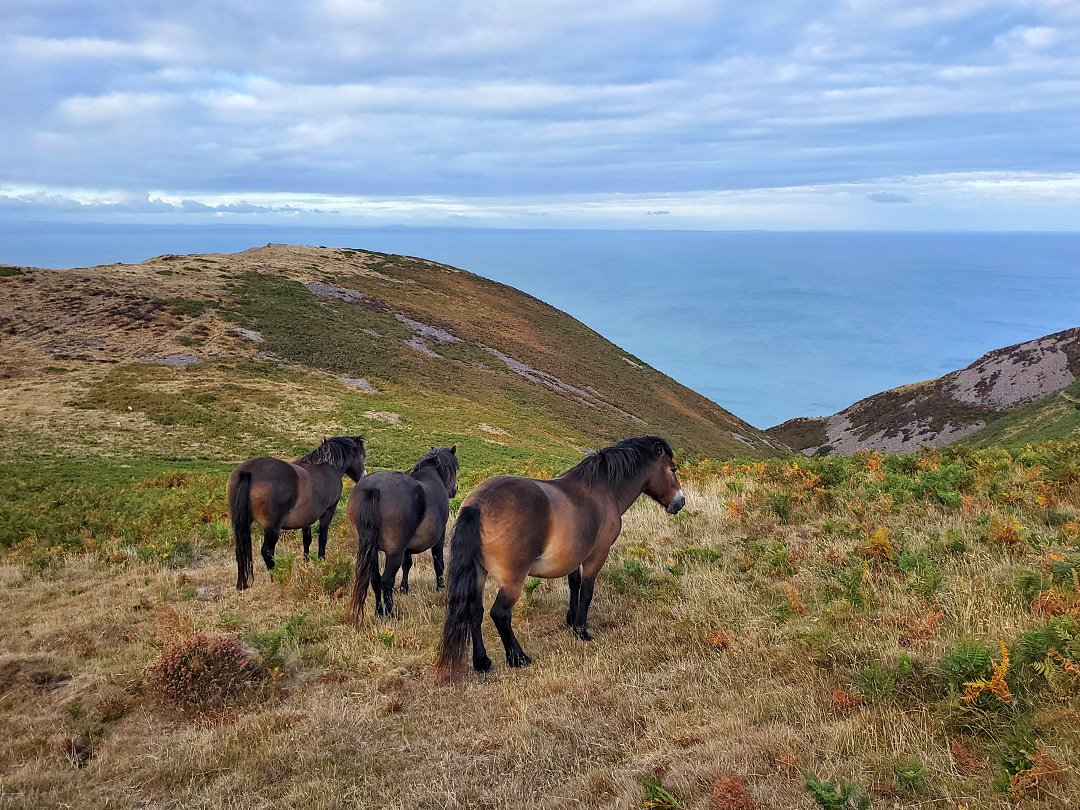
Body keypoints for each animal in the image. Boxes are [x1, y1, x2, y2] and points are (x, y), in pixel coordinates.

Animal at [225, 438, 365, 591]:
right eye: (363, 456)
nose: (363, 476)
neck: (327, 468)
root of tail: (248, 471)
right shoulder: (328, 511)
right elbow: (322, 538)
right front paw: (322, 562)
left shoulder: (307, 518)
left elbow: (307, 540)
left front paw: (306, 563)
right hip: (272, 527)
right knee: (267, 551)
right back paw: (276, 578)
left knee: (240, 549)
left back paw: (242, 584)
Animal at [349, 447, 460, 617]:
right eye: (456, 467)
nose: (455, 489)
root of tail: (373, 489)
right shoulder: (439, 537)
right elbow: (438, 562)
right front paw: (440, 587)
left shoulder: (406, 548)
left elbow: (407, 564)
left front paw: (404, 588)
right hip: (394, 553)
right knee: (386, 581)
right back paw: (390, 614)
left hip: (371, 551)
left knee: (375, 580)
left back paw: (379, 612)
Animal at [436, 438, 682, 678]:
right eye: (673, 469)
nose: (680, 502)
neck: (603, 489)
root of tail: (477, 504)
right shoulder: (597, 555)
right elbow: (586, 591)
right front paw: (581, 630)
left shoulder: (574, 556)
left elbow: (574, 585)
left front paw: (571, 620)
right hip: (513, 580)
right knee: (500, 614)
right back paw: (518, 658)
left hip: (479, 572)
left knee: (474, 612)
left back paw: (482, 662)